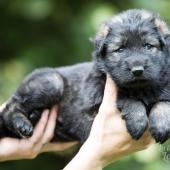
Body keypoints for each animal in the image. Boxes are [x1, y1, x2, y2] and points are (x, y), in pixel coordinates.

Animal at [0, 8, 170, 143]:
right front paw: (137, 121)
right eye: (120, 49)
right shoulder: (96, 101)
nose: (137, 70)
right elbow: (127, 98)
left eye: (148, 46)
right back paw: (22, 124)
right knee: (10, 107)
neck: (142, 88)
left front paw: (161, 125)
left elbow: (163, 103)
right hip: (53, 81)